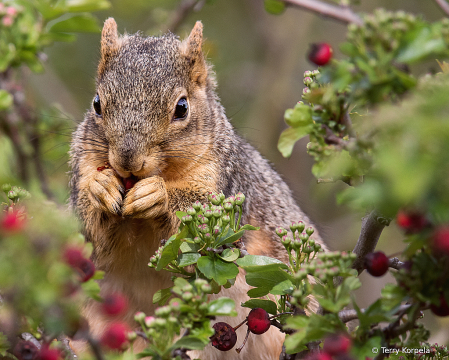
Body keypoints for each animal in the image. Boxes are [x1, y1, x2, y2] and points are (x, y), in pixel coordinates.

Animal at [68, 18, 324, 358]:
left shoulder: (226, 182)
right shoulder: (83, 166)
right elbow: (91, 234)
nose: (127, 159)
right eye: (97, 104)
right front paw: (101, 188)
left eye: (182, 107)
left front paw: (158, 195)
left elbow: (205, 220)